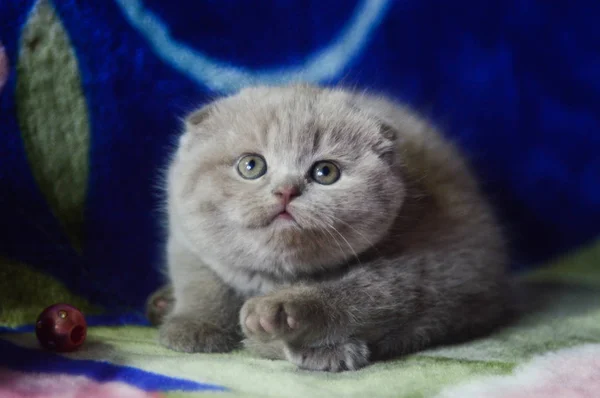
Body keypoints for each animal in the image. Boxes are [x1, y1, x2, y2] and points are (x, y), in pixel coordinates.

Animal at [150, 84, 510, 374]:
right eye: (251, 166)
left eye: (325, 172)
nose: (286, 191)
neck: (277, 276)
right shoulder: (187, 239)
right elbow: (201, 282)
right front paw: (194, 326)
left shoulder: (439, 265)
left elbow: (365, 292)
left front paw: (285, 317)